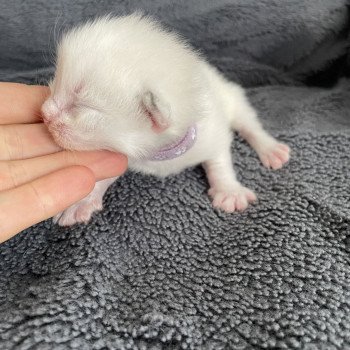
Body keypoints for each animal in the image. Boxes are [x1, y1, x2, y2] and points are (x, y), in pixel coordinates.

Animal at [41, 13, 290, 226]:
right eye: (56, 81)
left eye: (81, 106)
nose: (44, 113)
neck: (159, 153)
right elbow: (106, 171)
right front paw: (81, 202)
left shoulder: (213, 129)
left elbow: (219, 159)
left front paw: (230, 191)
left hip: (230, 96)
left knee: (248, 123)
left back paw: (271, 149)